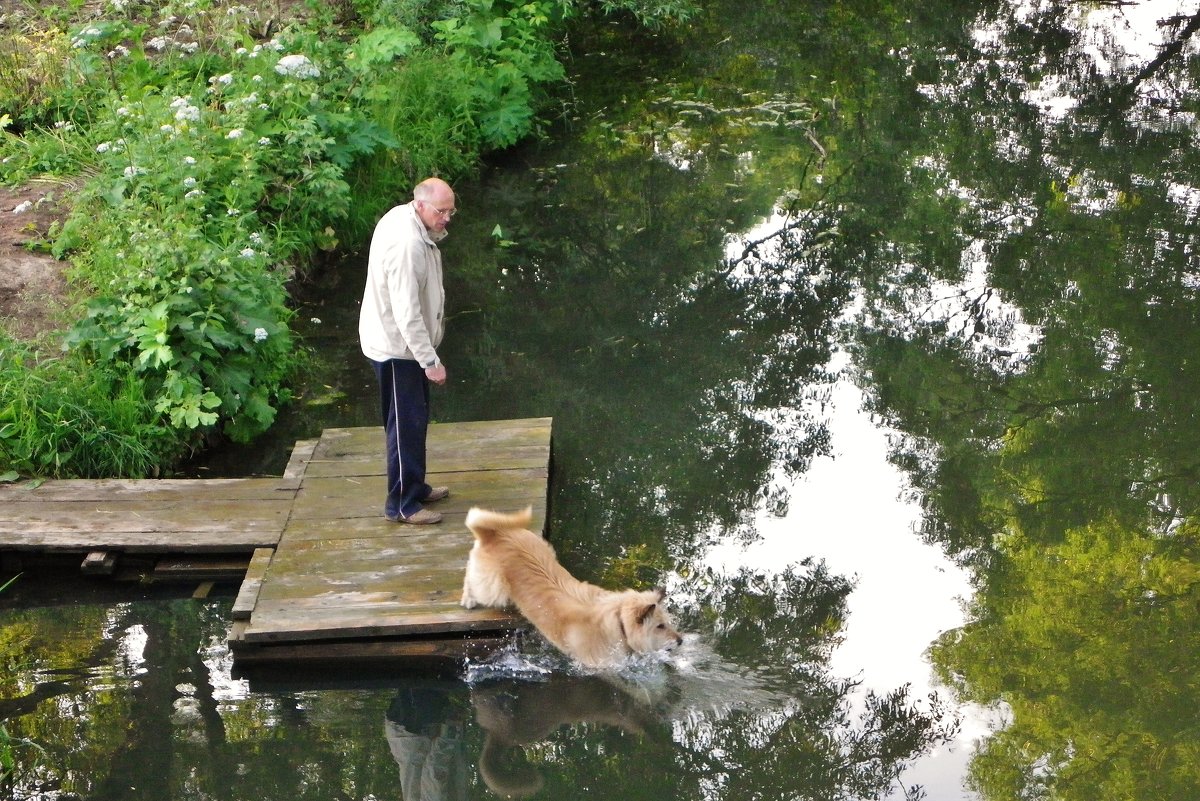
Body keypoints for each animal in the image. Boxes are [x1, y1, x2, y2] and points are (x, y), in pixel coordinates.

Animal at [460, 506, 686, 671]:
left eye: (667, 623)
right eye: (660, 626)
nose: (681, 640)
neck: (619, 620)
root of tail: (494, 532)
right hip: (492, 589)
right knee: (471, 576)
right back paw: (467, 599)